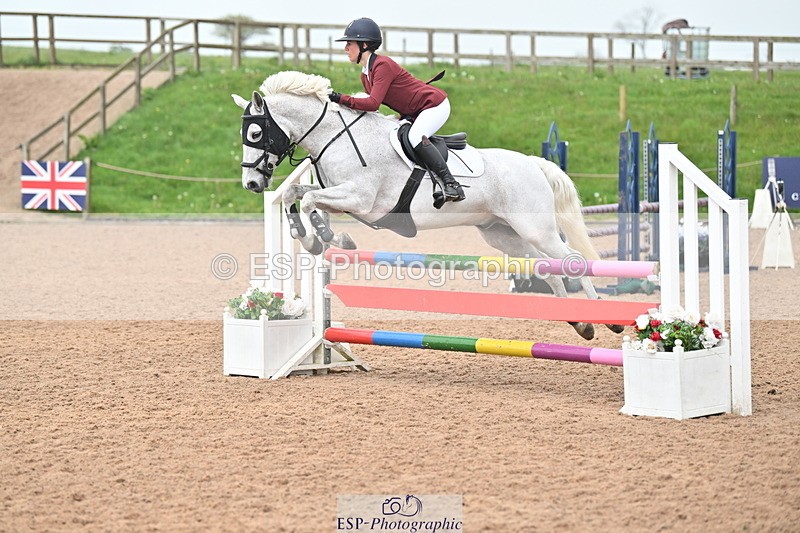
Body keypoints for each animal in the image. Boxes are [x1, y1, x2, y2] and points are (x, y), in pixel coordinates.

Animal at [232, 71, 623, 340]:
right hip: (503, 234)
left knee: (573, 259)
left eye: (255, 134)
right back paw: (579, 322)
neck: (336, 136)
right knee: (547, 267)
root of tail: (533, 163)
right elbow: (296, 196)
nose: (252, 184)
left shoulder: (360, 198)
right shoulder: (343, 197)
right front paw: (314, 236)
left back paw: (606, 320)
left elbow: (310, 199)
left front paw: (326, 238)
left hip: (535, 227)